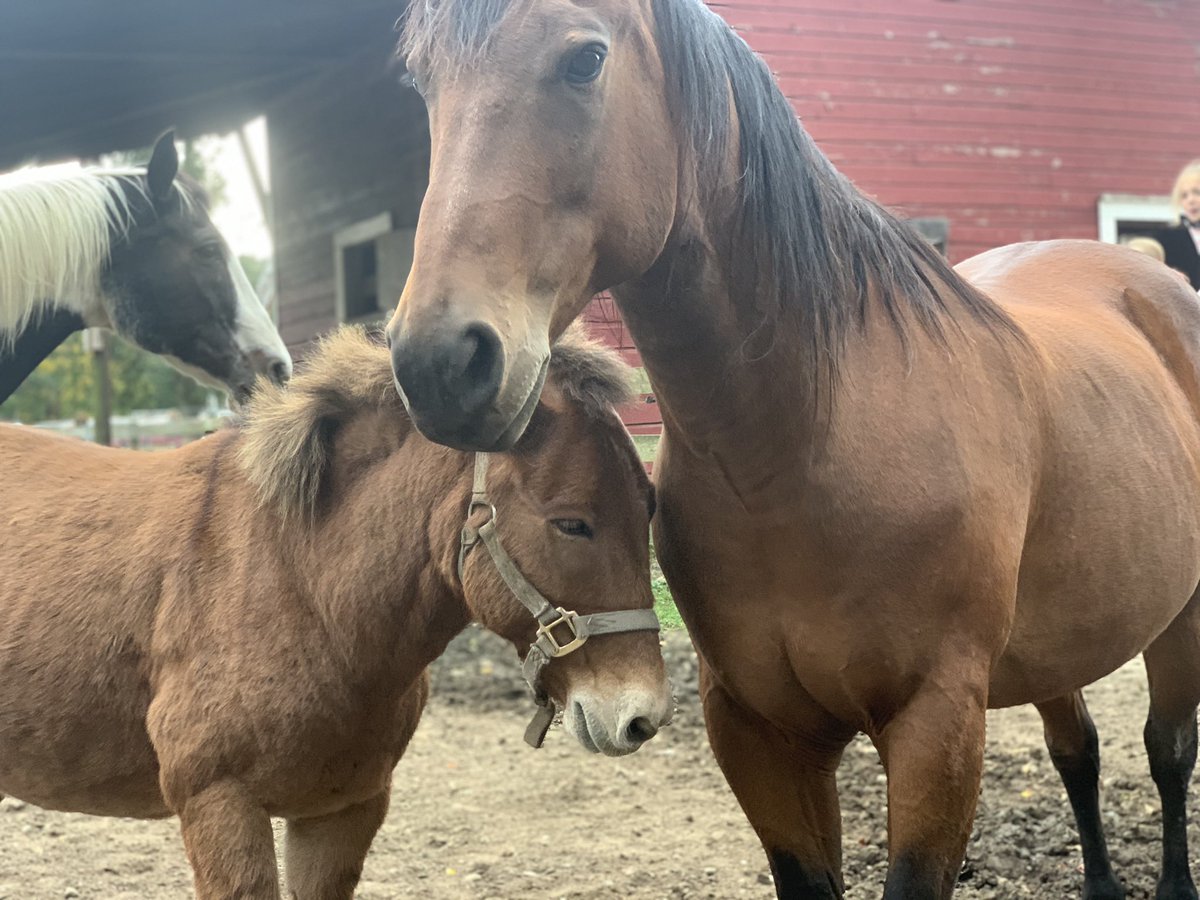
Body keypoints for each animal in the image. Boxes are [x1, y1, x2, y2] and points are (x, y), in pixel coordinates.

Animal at [0, 325, 671, 900]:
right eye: (572, 523)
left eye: (651, 506)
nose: (643, 717)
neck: (300, 583)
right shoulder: (219, 807)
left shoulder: (343, 809)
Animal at [385, 1, 1200, 897]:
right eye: (421, 84)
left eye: (585, 59)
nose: (436, 363)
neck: (797, 453)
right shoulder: (757, 730)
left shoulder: (937, 725)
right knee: (1077, 753)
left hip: (1179, 619)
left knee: (1167, 754)